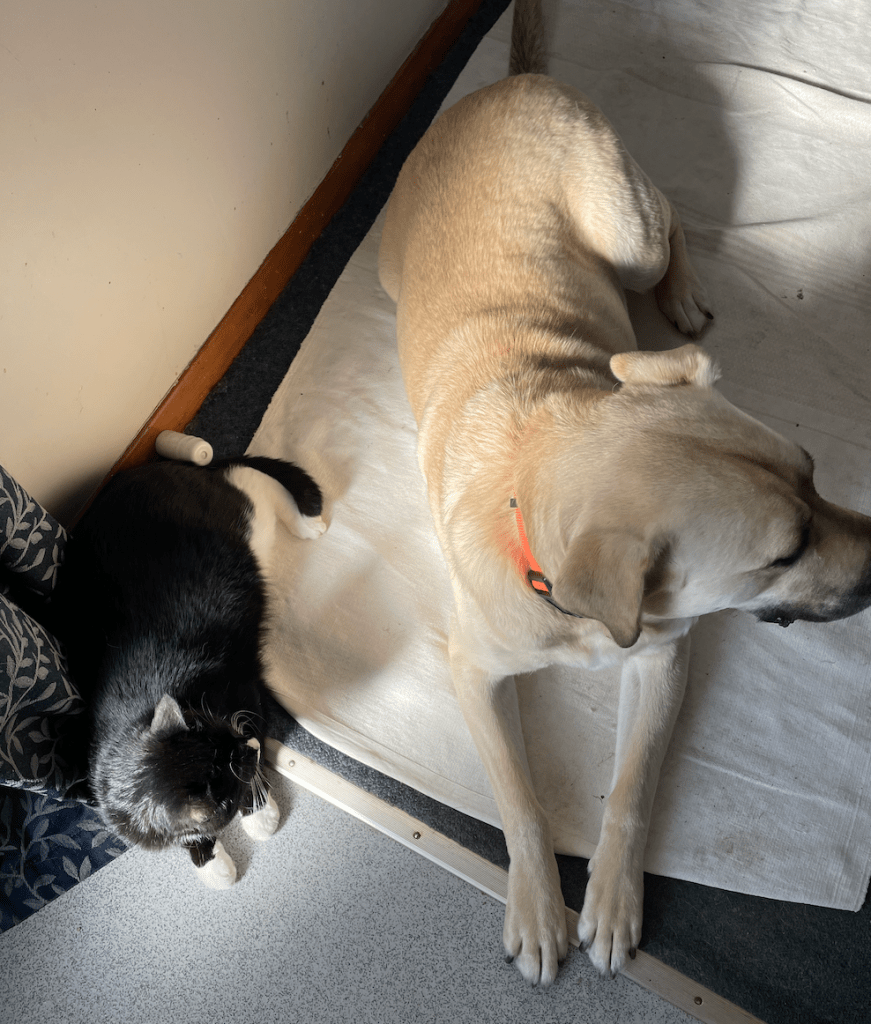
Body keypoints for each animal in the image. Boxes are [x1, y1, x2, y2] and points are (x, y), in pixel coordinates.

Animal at [53, 455, 326, 888]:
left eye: (234, 738)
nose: (249, 747)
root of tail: (163, 465)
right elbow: (192, 836)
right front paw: (210, 861)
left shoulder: (243, 691)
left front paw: (260, 815)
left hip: (245, 521)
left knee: (254, 484)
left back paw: (307, 524)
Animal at [378, 0, 871, 987]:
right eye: (785, 552)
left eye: (814, 469)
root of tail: (508, 83)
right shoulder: (472, 670)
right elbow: (518, 798)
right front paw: (538, 905)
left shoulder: (662, 657)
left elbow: (630, 786)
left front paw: (607, 899)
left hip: (626, 236)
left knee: (672, 221)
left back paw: (682, 296)